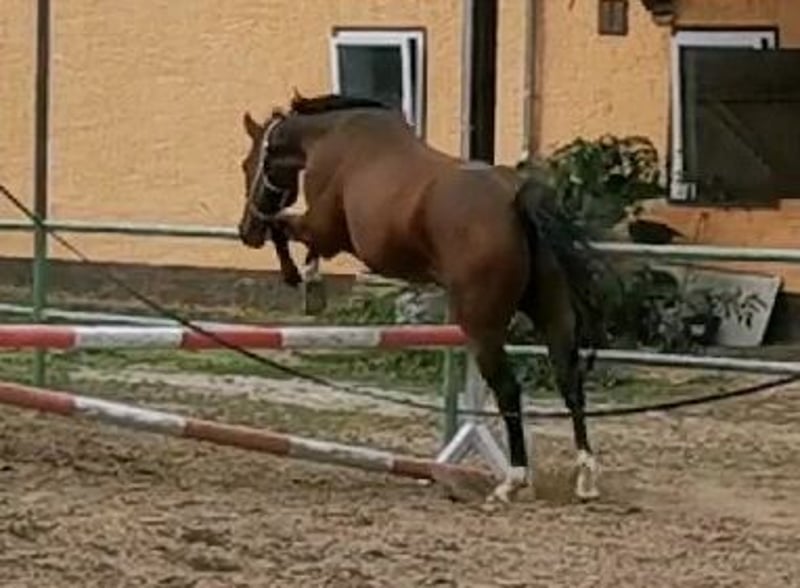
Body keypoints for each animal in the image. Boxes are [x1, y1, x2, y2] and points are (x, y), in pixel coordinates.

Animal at [237, 92, 607, 504]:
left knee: (510, 390)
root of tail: (515, 201)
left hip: (482, 328)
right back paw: (585, 477)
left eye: (247, 165)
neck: (331, 137)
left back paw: (511, 481)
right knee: (569, 381)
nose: (245, 231)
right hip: (551, 313)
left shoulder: (326, 231)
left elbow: (283, 228)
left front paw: (299, 278)